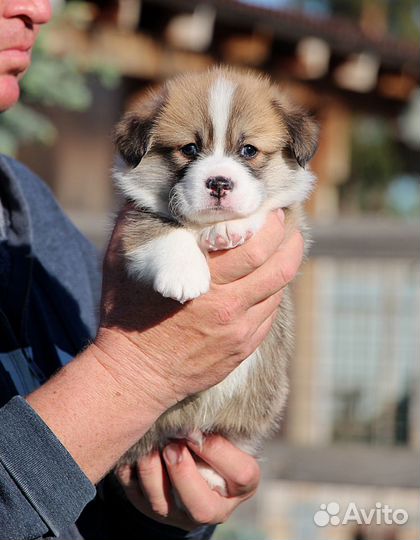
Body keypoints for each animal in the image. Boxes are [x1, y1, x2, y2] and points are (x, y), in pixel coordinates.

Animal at [113, 66, 316, 494]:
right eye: (189, 149)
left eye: (249, 151)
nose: (219, 183)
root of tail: (186, 429)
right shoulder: (134, 218)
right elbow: (161, 228)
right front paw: (184, 275)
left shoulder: (290, 225)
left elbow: (267, 210)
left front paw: (232, 229)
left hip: (261, 404)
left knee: (234, 437)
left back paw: (210, 473)